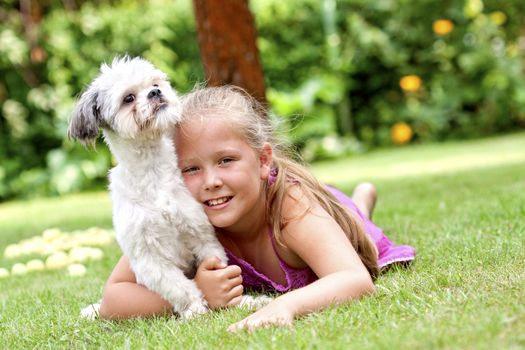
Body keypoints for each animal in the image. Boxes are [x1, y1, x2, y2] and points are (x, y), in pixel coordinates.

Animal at [69, 57, 266, 320]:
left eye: (155, 83)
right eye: (128, 98)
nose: (155, 93)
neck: (151, 170)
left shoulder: (199, 231)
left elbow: (217, 264)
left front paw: (241, 302)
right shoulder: (148, 258)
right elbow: (178, 286)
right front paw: (194, 308)